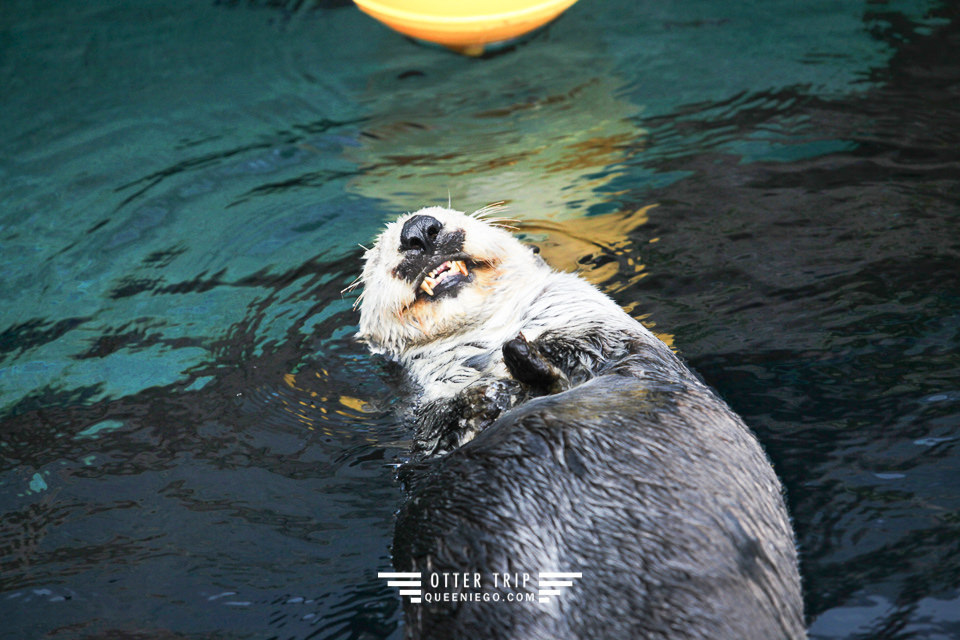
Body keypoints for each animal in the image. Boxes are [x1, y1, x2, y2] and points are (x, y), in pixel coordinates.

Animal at [356, 206, 808, 640]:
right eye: (375, 256)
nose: (419, 230)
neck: (483, 349)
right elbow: (435, 441)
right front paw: (481, 400)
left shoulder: (595, 329)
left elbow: (581, 352)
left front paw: (523, 356)